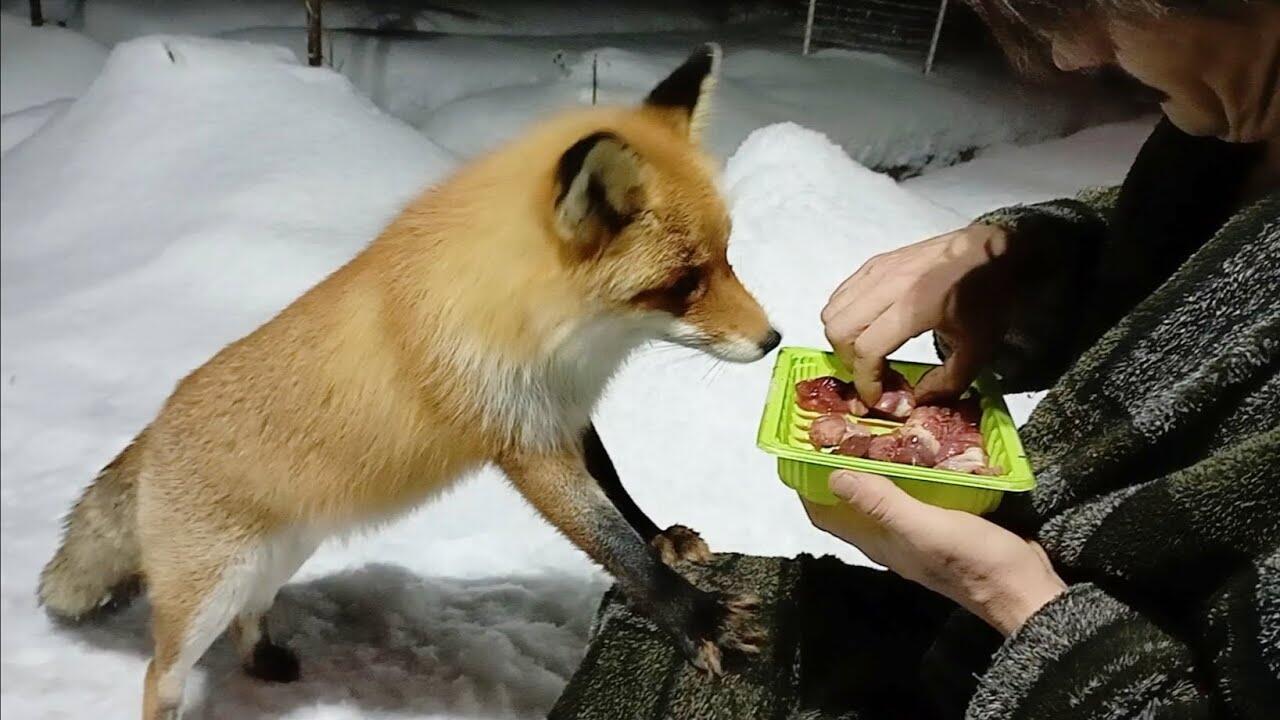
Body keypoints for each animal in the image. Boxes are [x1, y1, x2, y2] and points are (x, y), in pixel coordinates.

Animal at [37, 44, 781, 720]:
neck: (553, 333)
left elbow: (620, 495)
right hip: (207, 597)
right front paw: (699, 619)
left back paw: (264, 659)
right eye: (684, 283)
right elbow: (613, 544)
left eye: (726, 257)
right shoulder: (525, 442)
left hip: (276, 561)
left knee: (249, 617)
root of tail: (154, 426)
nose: (773, 339)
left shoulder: (565, 411)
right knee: (160, 675)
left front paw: (665, 540)